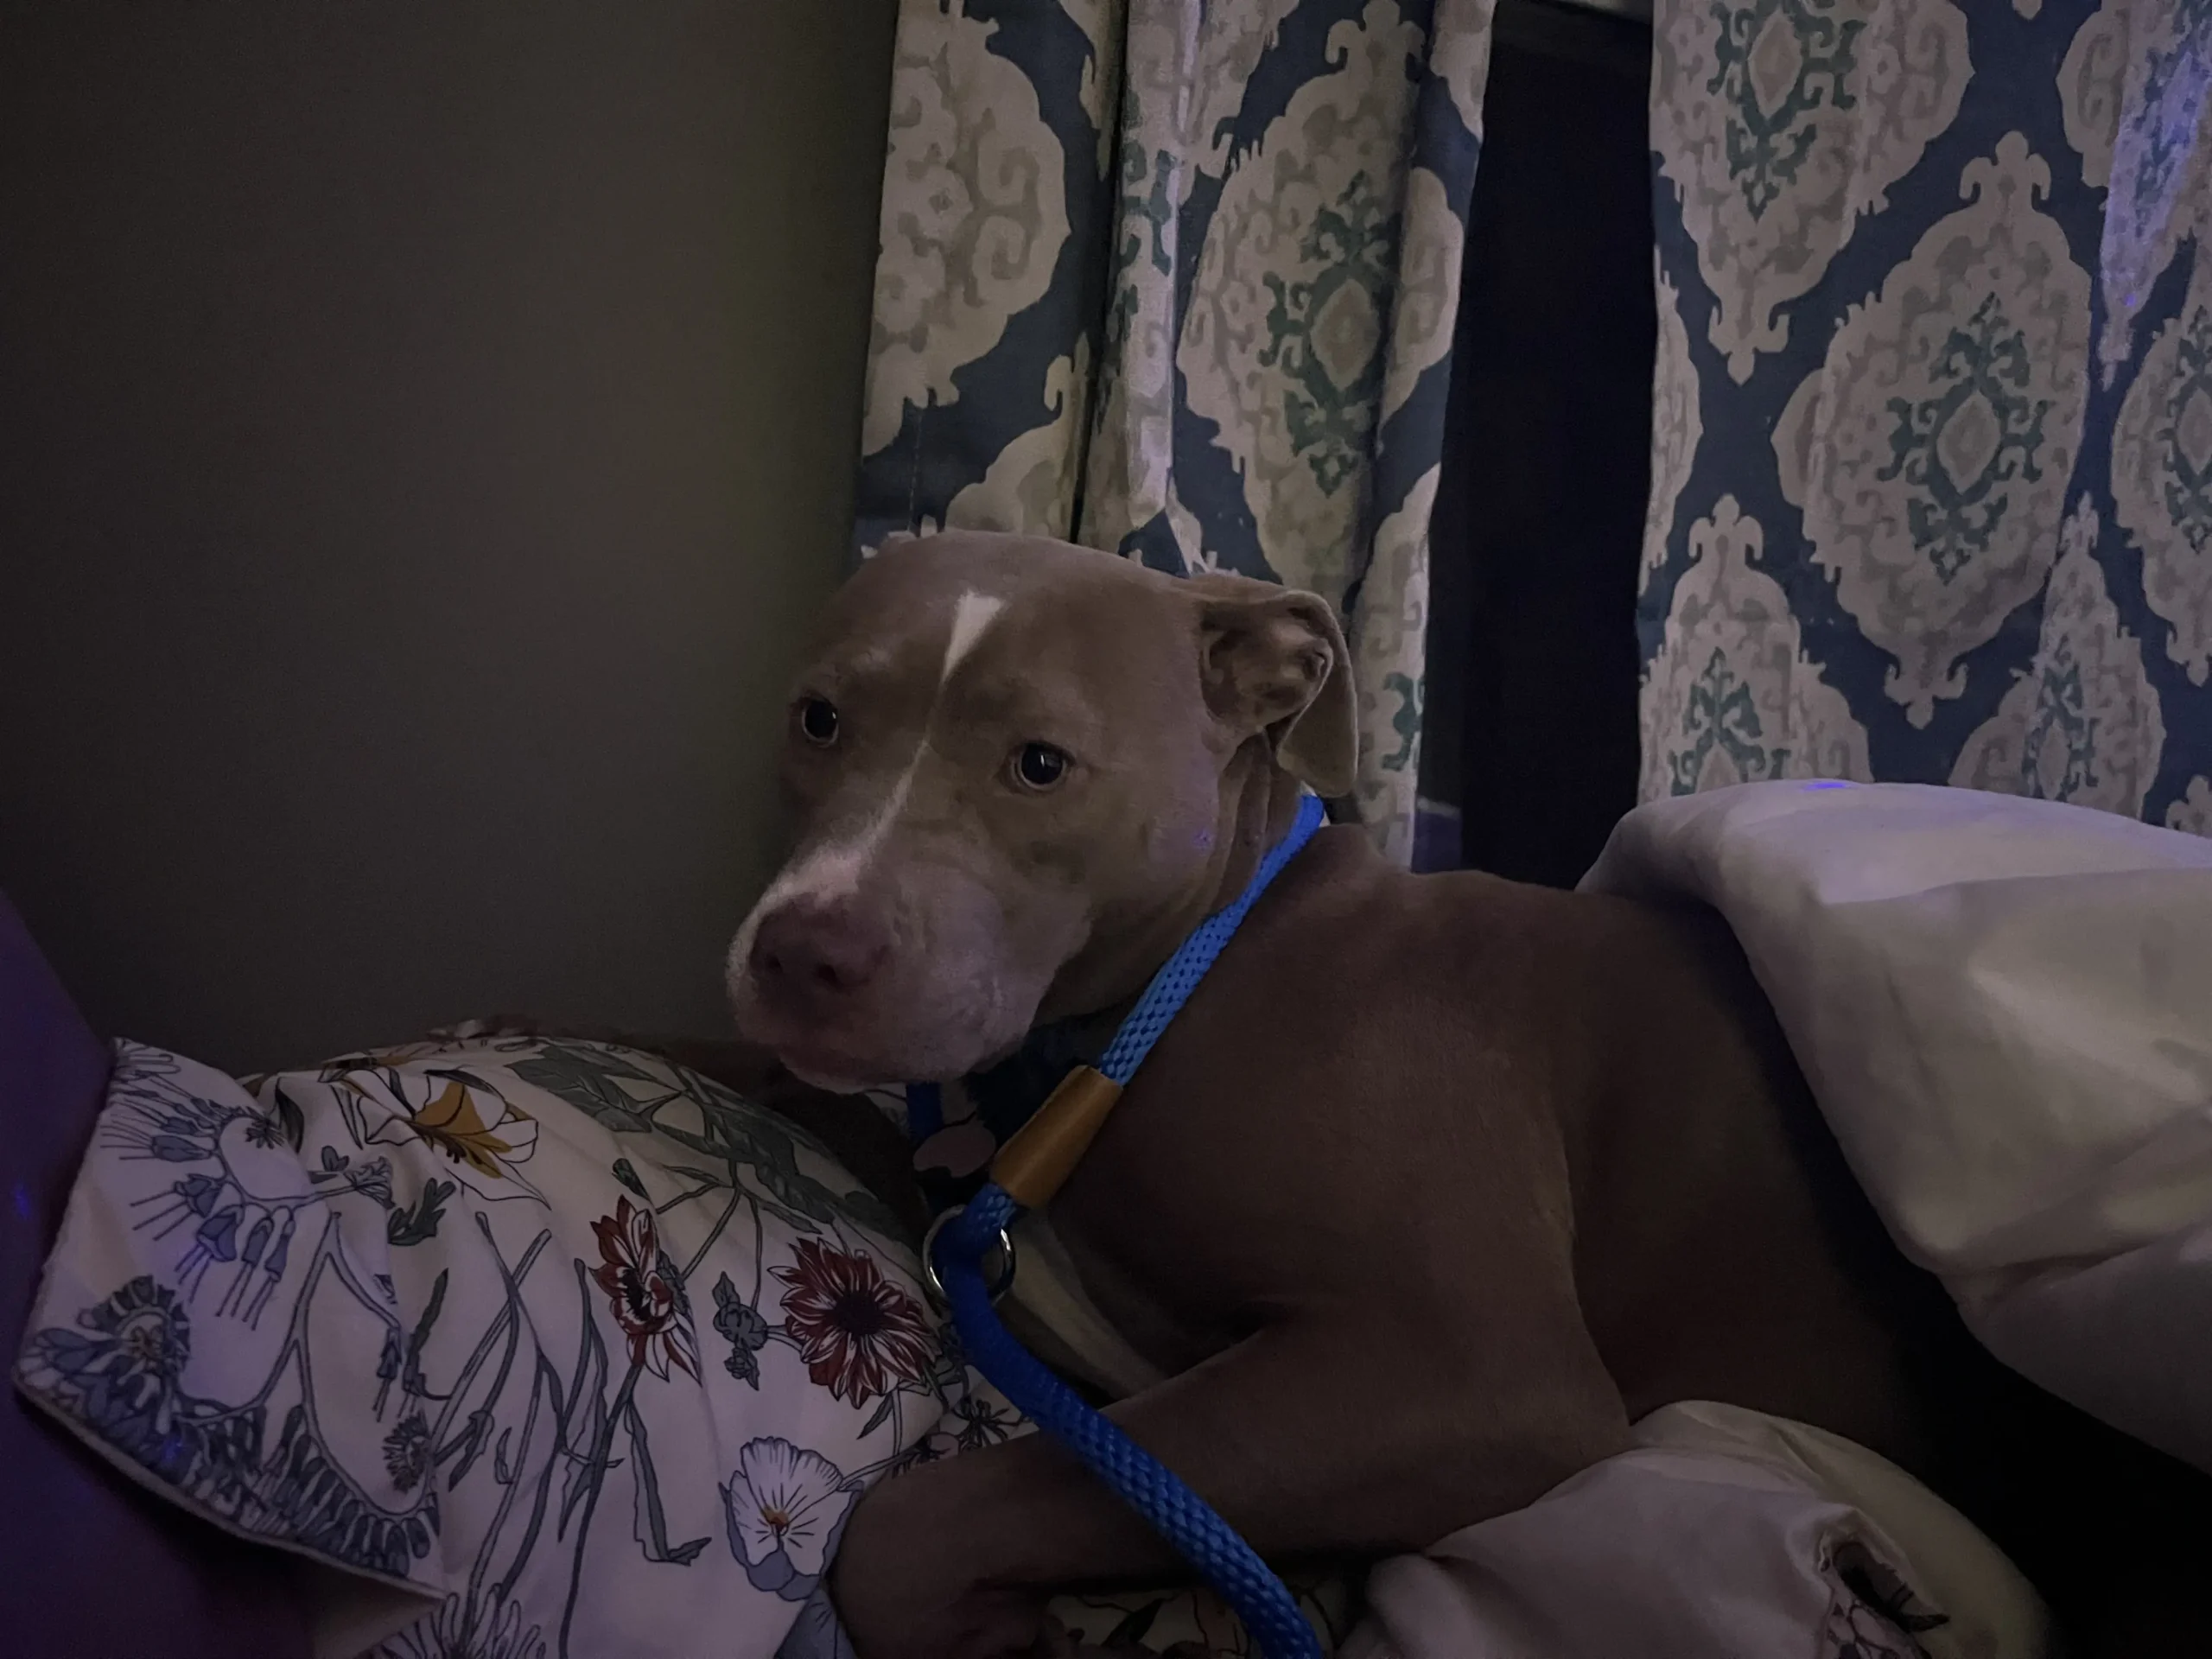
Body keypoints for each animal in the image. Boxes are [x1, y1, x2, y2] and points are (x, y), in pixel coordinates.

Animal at [722, 529, 2209, 1659]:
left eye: (1040, 763)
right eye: (818, 718)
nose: (803, 951)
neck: (1180, 987)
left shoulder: (1470, 1376)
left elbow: (938, 1513)